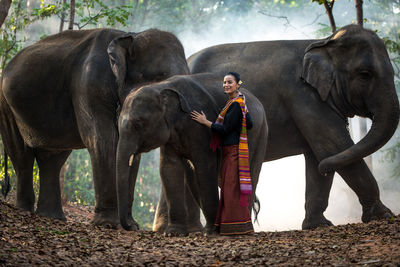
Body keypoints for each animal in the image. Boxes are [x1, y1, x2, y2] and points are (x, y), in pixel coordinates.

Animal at [0, 28, 189, 228]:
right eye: (161, 77)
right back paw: (25, 209)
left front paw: (131, 225)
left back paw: (52, 216)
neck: (131, 36)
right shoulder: (89, 85)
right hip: (5, 104)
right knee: (22, 155)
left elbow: (131, 154)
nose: (129, 225)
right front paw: (108, 224)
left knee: (52, 159)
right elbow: (103, 140)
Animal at [115, 74, 268, 237]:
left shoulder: (201, 131)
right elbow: (169, 168)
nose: (133, 226)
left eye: (138, 124)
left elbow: (205, 167)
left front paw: (211, 232)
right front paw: (173, 233)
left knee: (250, 175)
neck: (161, 86)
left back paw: (240, 230)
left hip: (259, 134)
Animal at [152, 24, 396, 231]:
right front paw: (385, 215)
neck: (323, 42)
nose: (326, 169)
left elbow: (318, 153)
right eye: (365, 74)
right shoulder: (303, 95)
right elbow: (333, 146)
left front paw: (317, 225)